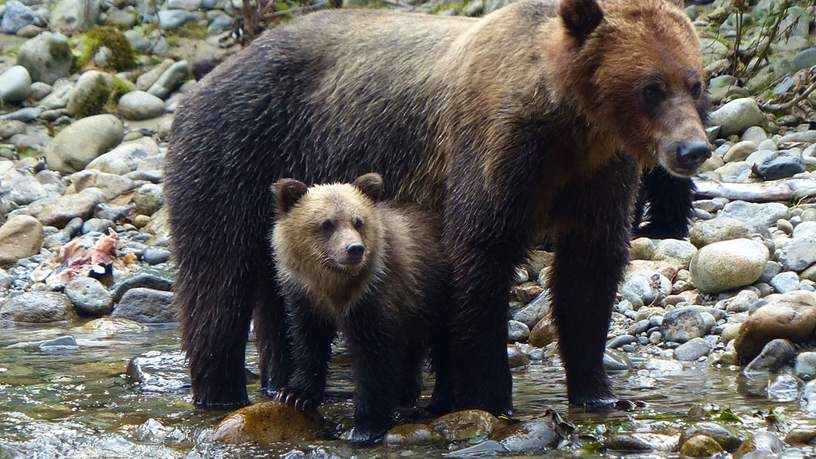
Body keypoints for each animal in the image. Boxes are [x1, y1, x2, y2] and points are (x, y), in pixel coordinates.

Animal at [164, 0, 708, 416]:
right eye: (651, 87)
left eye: (695, 82)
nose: (693, 149)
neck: (569, 124)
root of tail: (211, 76)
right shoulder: (496, 154)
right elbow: (482, 256)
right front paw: (489, 397)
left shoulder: (598, 176)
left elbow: (589, 272)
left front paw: (600, 394)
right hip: (236, 153)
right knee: (217, 280)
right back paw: (220, 392)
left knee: (280, 293)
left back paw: (282, 382)